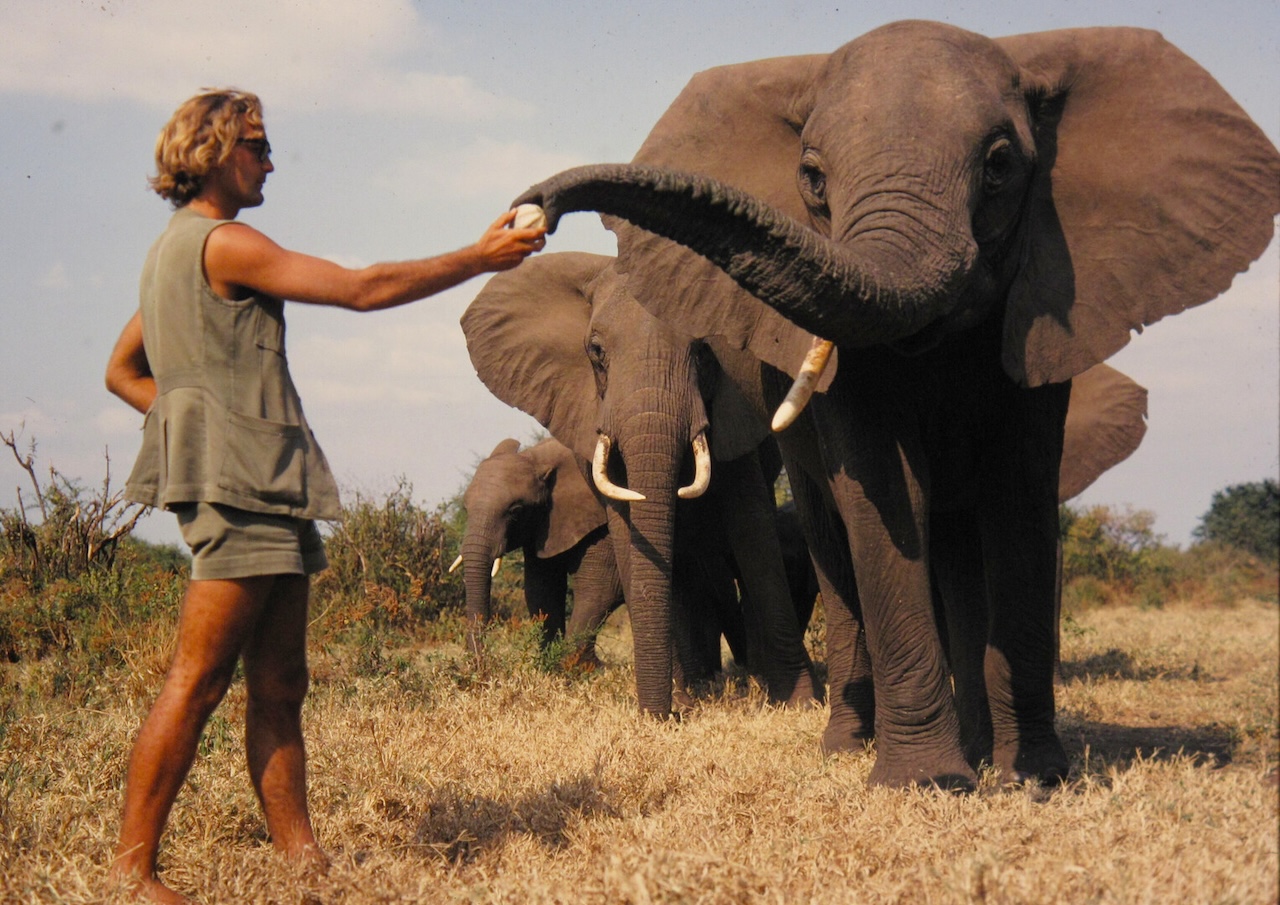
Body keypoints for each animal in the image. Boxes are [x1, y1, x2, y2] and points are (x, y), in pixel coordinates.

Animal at [452, 437, 624, 664]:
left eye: (516, 511)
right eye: (465, 509)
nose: (480, 662)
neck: (536, 458)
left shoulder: (603, 518)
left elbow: (600, 587)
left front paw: (583, 667)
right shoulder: (544, 523)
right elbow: (541, 589)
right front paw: (548, 663)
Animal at [512, 21, 1279, 786]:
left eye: (1000, 165)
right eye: (812, 177)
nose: (532, 210)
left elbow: (1020, 491)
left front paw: (1032, 778)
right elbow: (885, 488)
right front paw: (927, 782)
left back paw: (980, 749)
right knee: (834, 539)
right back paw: (852, 744)